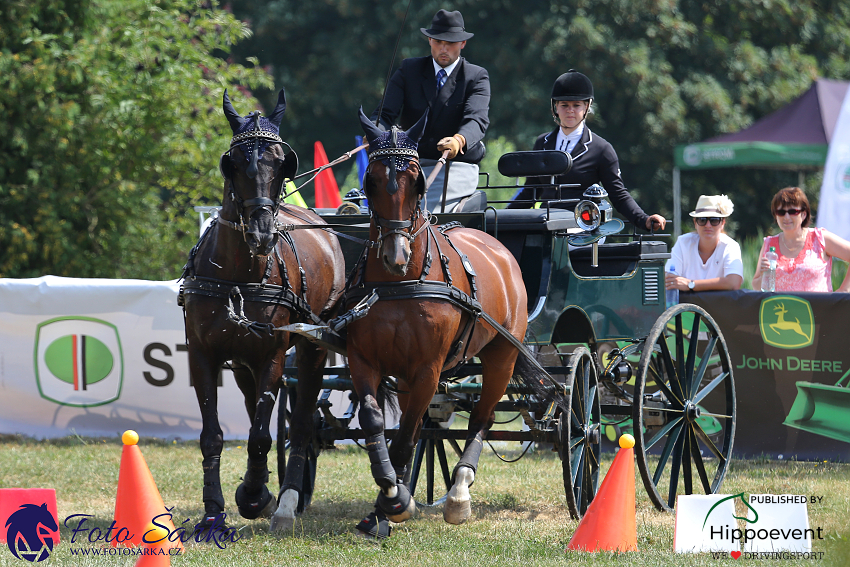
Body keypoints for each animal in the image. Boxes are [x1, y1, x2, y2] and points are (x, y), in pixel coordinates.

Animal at [181, 89, 344, 532]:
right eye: (233, 162)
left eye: (281, 161)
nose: (261, 233)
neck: (239, 272)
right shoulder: (203, 354)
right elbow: (212, 434)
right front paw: (215, 509)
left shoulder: (272, 354)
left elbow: (260, 435)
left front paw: (255, 497)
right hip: (241, 360)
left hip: (312, 348)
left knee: (302, 425)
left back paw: (286, 502)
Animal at [342, 110, 560, 536]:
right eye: (370, 181)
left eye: (417, 182)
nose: (396, 256)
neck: (402, 283)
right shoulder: (366, 361)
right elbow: (379, 424)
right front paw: (387, 497)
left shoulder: (428, 368)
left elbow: (406, 435)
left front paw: (395, 503)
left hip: (501, 355)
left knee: (482, 417)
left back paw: (459, 494)